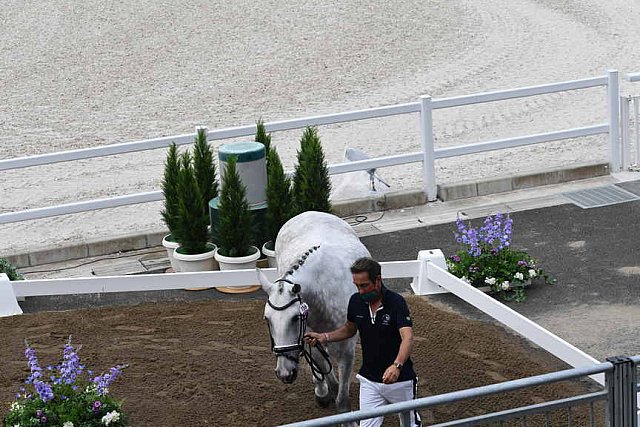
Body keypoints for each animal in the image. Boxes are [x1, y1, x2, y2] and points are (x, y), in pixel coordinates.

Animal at [258, 211, 370, 418]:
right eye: (267, 319)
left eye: (295, 317)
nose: (284, 373)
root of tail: (308, 213)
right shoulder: (310, 339)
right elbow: (328, 376)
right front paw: (324, 392)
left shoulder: (347, 351)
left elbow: (342, 399)